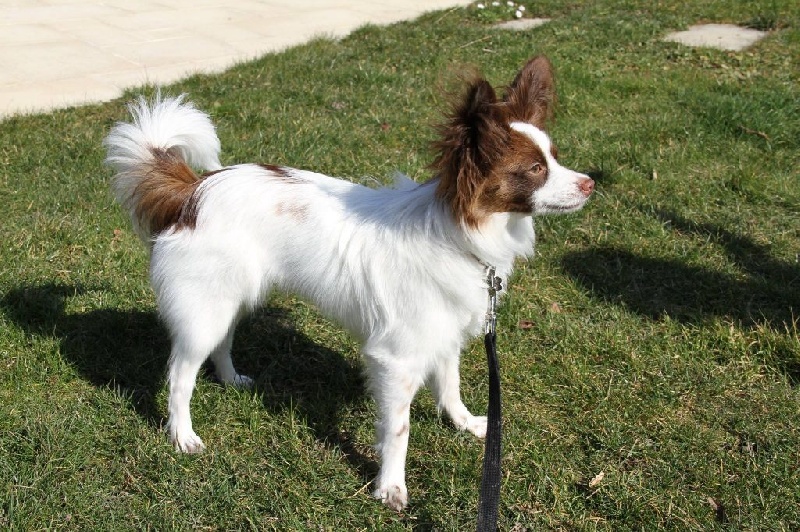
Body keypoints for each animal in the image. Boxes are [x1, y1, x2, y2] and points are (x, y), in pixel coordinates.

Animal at [104, 55, 593, 511]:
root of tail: (192, 192)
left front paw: (466, 422)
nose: (590, 184)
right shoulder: (395, 359)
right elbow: (398, 429)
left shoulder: (443, 334)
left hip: (231, 298)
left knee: (221, 343)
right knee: (180, 375)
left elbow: (450, 385)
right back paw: (182, 435)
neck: (459, 234)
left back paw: (231, 379)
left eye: (554, 156)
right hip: (205, 308)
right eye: (535, 169)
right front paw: (390, 486)